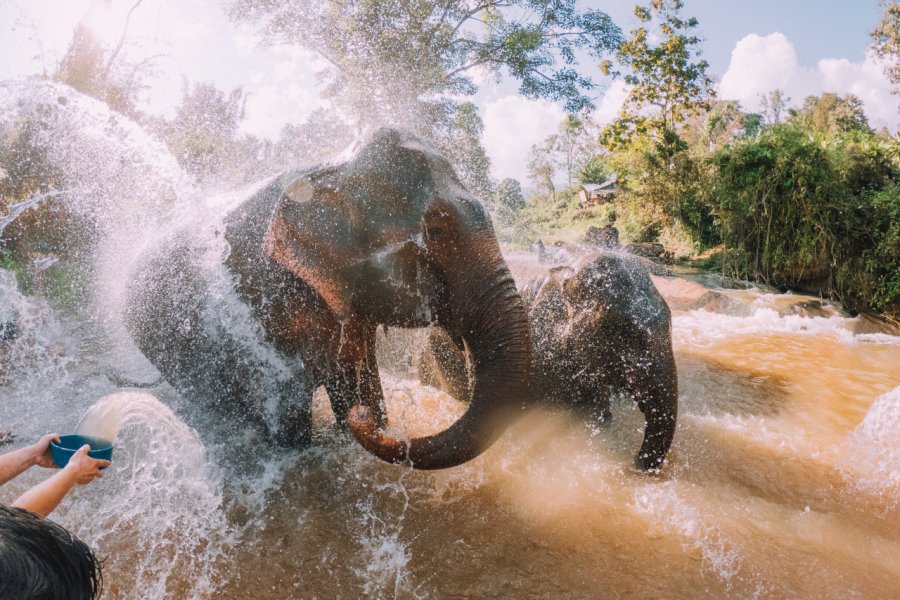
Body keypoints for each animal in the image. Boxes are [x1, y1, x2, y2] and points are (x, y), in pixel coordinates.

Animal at [123, 129, 532, 472]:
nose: (360, 419)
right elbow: (288, 421)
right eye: (435, 230)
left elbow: (357, 379)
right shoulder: (255, 304)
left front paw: (359, 414)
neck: (332, 170)